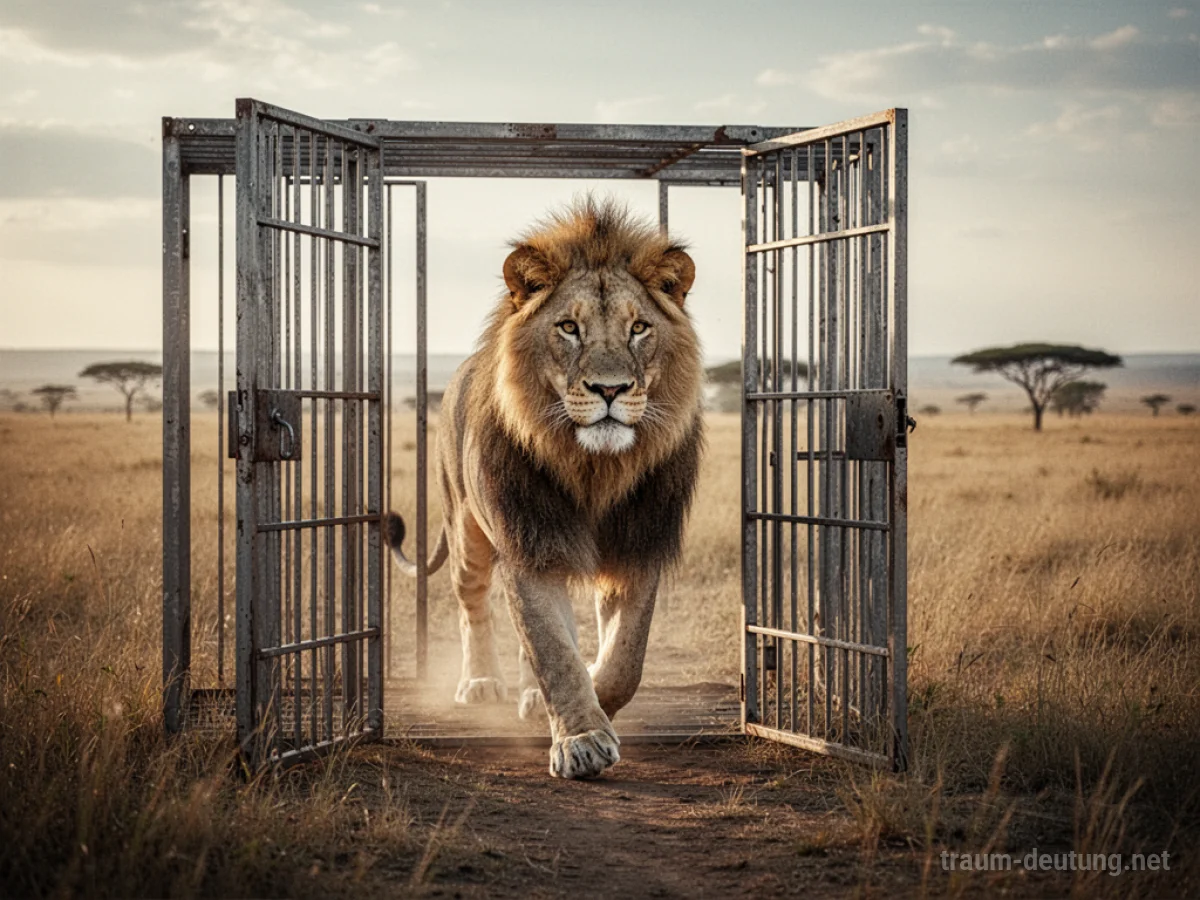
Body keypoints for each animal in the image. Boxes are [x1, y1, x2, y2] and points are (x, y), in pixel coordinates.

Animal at [385, 197, 703, 779]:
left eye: (639, 327)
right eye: (569, 327)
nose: (609, 389)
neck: (593, 468)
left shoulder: (637, 547)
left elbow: (624, 658)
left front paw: (594, 696)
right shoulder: (527, 542)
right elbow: (552, 651)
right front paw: (580, 740)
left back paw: (533, 697)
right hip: (465, 532)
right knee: (473, 605)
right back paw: (480, 682)